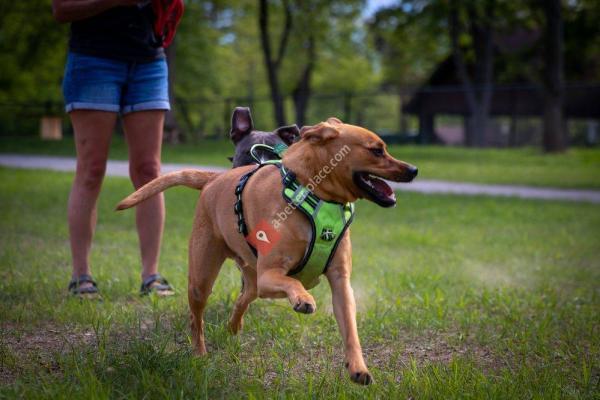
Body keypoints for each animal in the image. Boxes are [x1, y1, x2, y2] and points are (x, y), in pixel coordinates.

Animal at [117, 118, 418, 384]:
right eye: (376, 150)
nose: (414, 169)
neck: (313, 194)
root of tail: (215, 179)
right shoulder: (271, 274)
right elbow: (293, 281)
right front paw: (303, 298)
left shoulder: (340, 284)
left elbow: (351, 332)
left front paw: (358, 368)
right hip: (202, 279)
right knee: (196, 319)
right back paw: (200, 354)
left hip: (251, 281)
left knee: (242, 299)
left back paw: (233, 326)